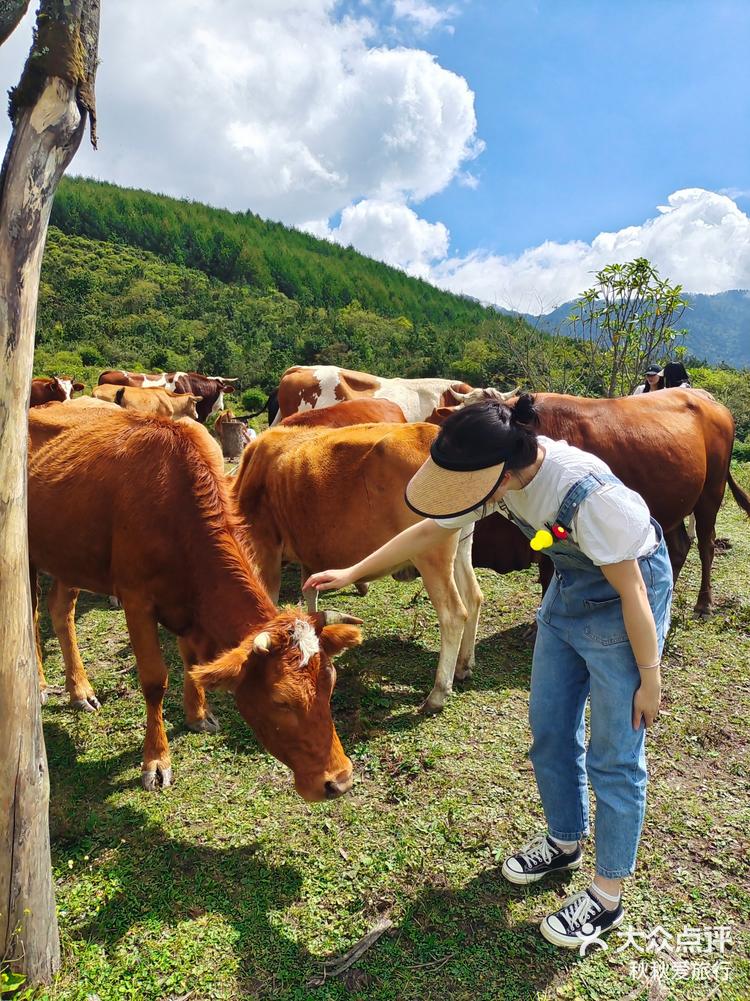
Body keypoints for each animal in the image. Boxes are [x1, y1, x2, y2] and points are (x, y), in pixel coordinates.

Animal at [30, 402, 364, 800]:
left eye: (330, 684)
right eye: (281, 701)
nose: (339, 781)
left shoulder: (190, 608)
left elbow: (193, 664)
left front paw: (197, 715)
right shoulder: (136, 599)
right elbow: (154, 680)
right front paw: (156, 761)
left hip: (70, 557)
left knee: (60, 609)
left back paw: (80, 690)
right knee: (31, 616)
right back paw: (39, 685)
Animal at [231, 420, 482, 712]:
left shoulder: (266, 545)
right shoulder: (309, 552)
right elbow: (310, 591)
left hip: (430, 552)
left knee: (453, 614)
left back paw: (438, 693)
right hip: (461, 542)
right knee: (474, 596)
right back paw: (464, 665)